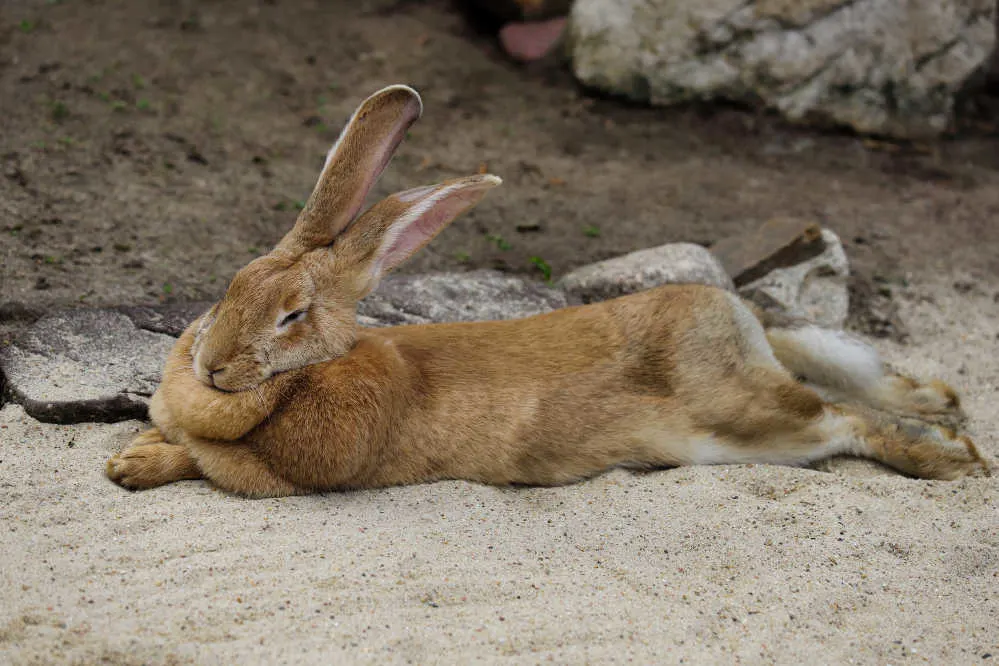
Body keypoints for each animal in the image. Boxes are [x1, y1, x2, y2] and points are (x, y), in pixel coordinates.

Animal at [107, 85, 984, 496]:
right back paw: (939, 410)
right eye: (228, 289)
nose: (213, 367)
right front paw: (132, 454)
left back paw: (950, 456)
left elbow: (205, 462)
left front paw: (133, 466)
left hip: (750, 413)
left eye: (291, 315)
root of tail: (732, 314)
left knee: (845, 418)